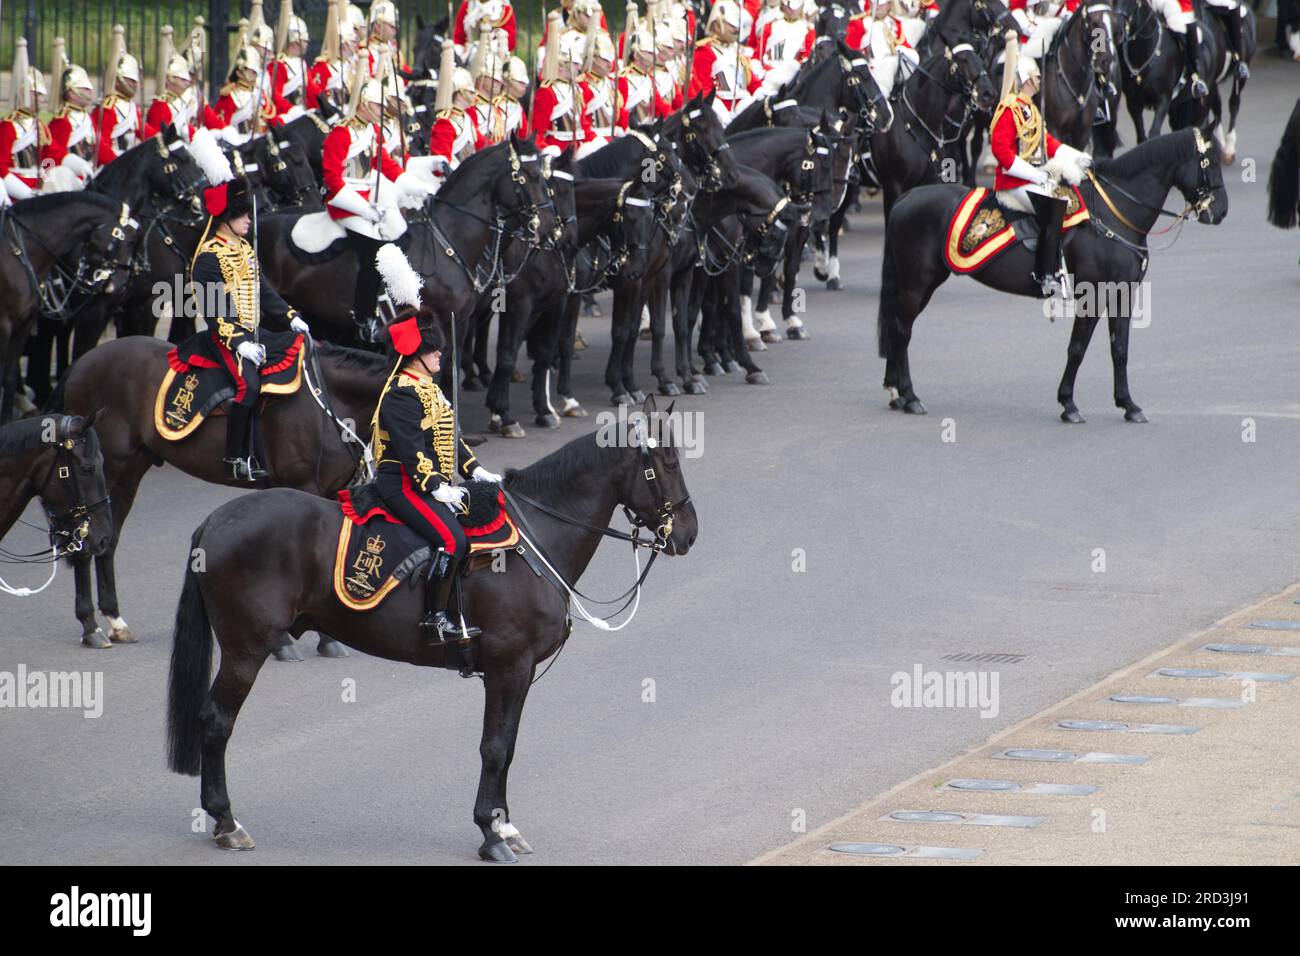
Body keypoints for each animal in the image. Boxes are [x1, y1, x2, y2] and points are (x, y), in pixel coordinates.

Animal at [167, 400, 696, 863]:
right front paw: (490, 833)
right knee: (216, 721)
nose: (689, 534)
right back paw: (226, 822)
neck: (534, 540)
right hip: (244, 650)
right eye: (666, 463)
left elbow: (508, 746)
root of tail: (215, 520)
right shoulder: (508, 666)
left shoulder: (519, 673)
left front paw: (505, 825)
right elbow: (494, 747)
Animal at [878, 128, 1222, 421]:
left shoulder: (1122, 291)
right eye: (1209, 162)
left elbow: (1120, 348)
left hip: (922, 284)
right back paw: (910, 397)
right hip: (916, 283)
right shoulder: (1093, 292)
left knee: (897, 328)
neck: (1113, 213)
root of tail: (906, 197)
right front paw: (1068, 403)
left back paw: (897, 393)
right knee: (902, 330)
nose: (1220, 212)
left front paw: (1128, 404)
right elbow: (1078, 347)